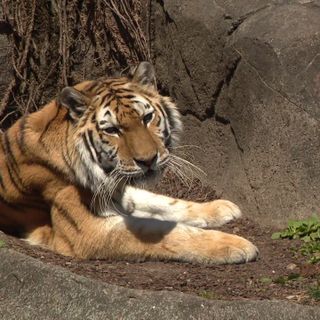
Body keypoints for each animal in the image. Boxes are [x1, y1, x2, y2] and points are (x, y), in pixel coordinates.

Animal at [0, 62, 258, 262]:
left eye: (147, 117)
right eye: (112, 130)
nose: (148, 160)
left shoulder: (116, 189)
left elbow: (162, 202)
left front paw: (221, 208)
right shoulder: (87, 230)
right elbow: (164, 231)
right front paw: (236, 245)